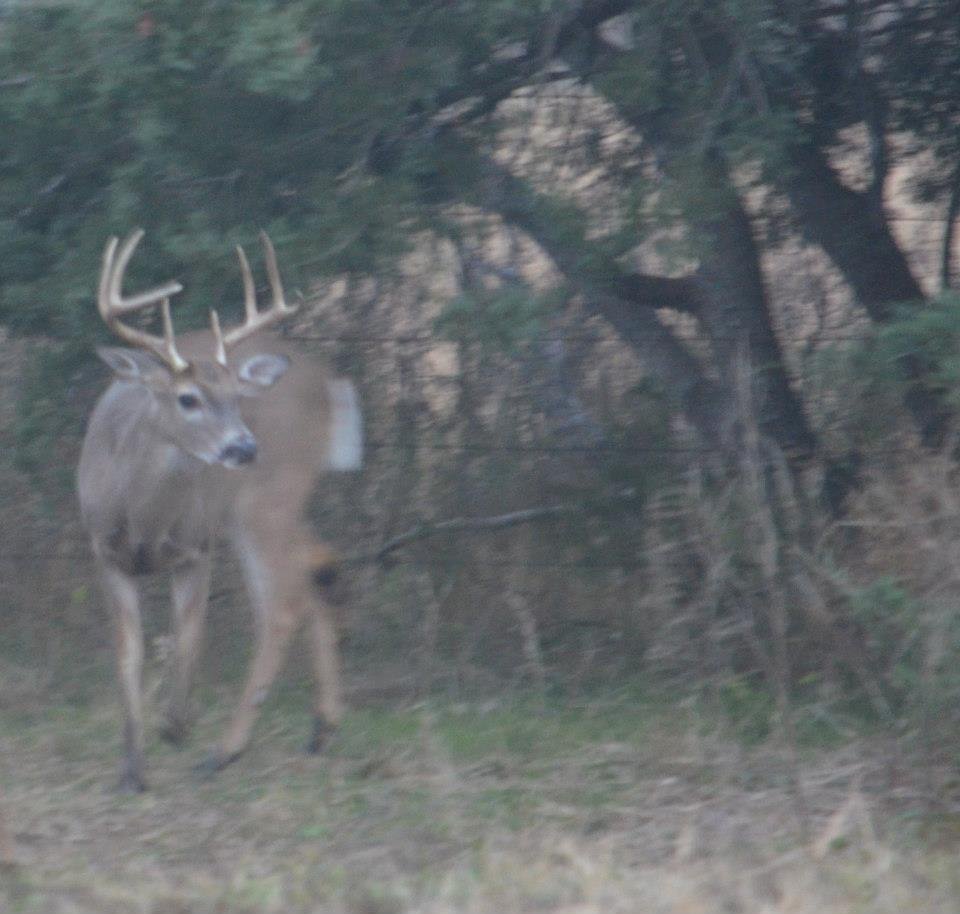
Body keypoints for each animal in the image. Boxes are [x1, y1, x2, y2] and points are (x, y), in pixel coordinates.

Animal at [77, 230, 362, 791]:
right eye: (187, 398)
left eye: (236, 397)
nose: (245, 447)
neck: (142, 520)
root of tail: (327, 382)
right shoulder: (104, 552)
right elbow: (128, 652)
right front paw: (132, 769)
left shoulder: (196, 546)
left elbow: (189, 636)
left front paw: (175, 725)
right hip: (273, 505)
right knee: (319, 565)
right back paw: (322, 727)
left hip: (263, 501)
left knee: (281, 605)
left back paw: (223, 750)